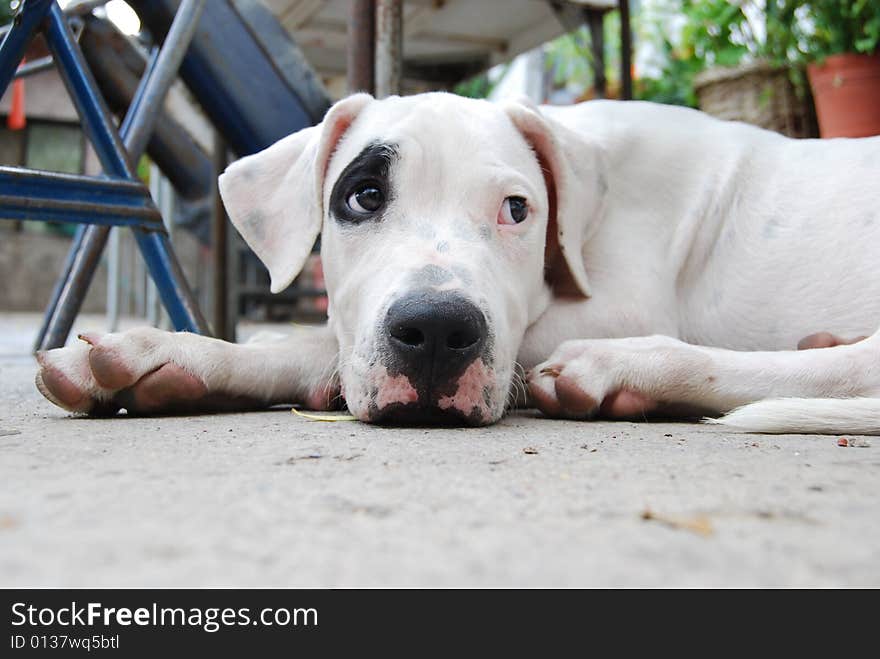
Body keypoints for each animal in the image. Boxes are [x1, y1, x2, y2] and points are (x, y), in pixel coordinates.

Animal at [34, 93, 880, 434]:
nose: (438, 332)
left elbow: (315, 338)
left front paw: (168, 351)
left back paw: (622, 370)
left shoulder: (618, 303)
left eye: (516, 209)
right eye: (363, 194)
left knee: (829, 371)